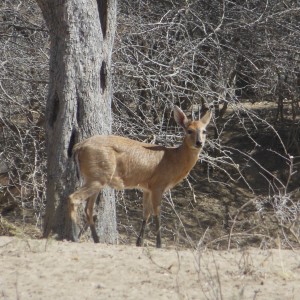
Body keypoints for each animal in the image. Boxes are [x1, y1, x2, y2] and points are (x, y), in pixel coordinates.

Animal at [69, 106, 212, 247]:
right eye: (189, 130)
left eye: (204, 131)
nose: (199, 143)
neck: (173, 160)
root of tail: (79, 146)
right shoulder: (158, 185)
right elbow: (157, 213)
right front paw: (159, 244)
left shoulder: (146, 188)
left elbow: (146, 214)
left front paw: (139, 243)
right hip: (98, 177)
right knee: (74, 198)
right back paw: (74, 237)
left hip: (95, 178)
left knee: (89, 209)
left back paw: (96, 240)